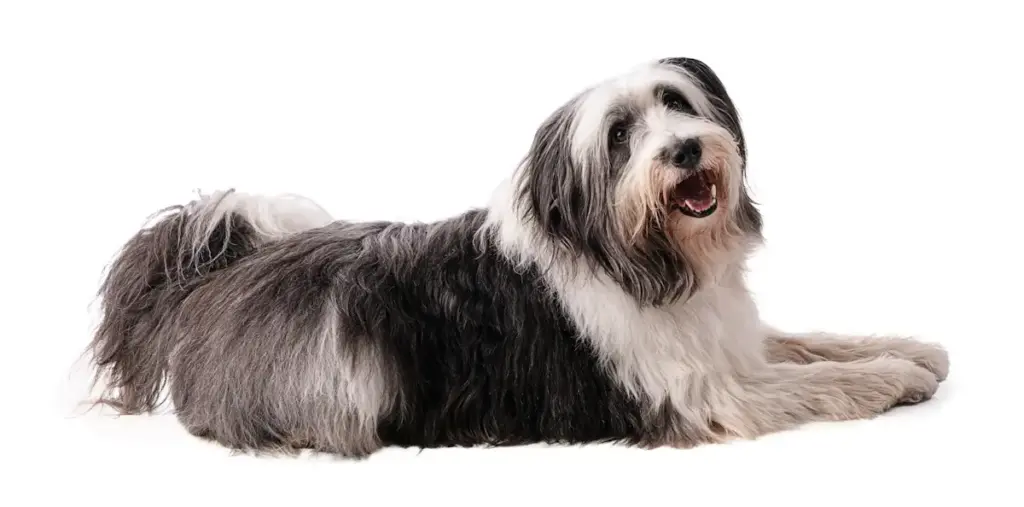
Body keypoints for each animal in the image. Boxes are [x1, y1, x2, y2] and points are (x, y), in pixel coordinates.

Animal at [83, 57, 946, 458]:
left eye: (675, 103)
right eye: (620, 137)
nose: (686, 151)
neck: (639, 253)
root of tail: (220, 274)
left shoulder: (728, 341)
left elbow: (813, 342)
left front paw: (911, 348)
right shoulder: (701, 394)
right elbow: (813, 382)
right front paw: (892, 376)